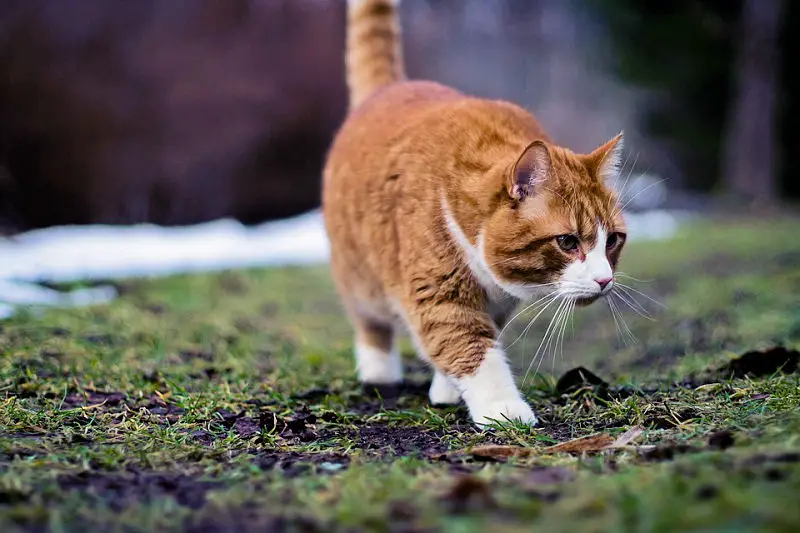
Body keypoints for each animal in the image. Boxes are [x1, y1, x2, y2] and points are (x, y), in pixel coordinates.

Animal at [322, 0, 628, 426]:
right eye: (567, 242)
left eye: (613, 240)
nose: (604, 280)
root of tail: (389, 87)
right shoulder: (439, 293)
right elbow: (471, 348)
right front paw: (502, 408)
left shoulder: (496, 304)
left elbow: (472, 342)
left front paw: (449, 390)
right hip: (359, 274)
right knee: (369, 320)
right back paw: (378, 372)